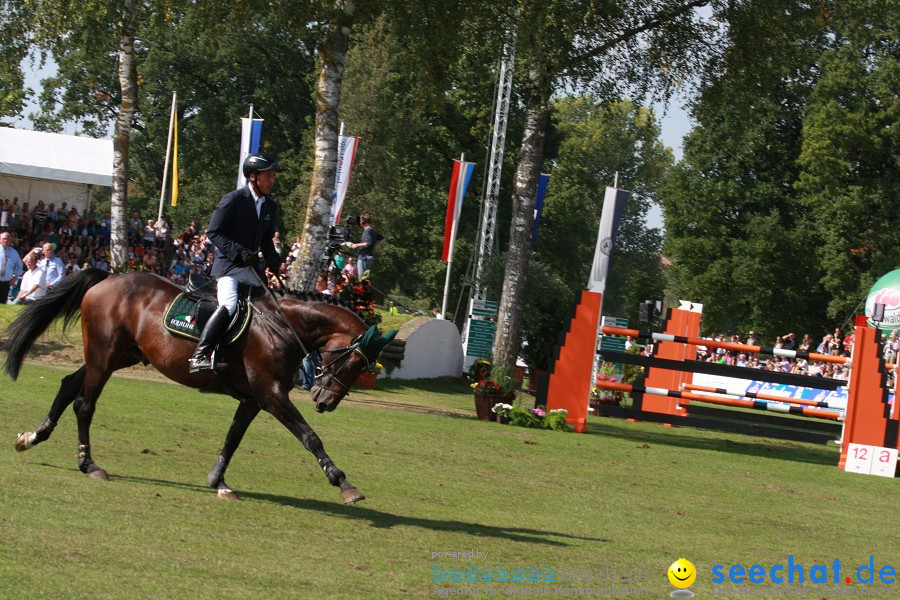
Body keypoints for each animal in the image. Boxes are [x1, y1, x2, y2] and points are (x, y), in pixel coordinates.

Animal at [3, 270, 396, 502]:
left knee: (69, 385)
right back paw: (89, 464)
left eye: (363, 368)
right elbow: (310, 436)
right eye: (353, 363)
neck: (282, 326)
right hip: (104, 354)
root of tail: (108, 278)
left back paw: (33, 437)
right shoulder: (271, 395)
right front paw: (343, 483)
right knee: (84, 404)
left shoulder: (254, 399)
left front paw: (218, 481)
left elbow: (233, 438)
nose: (324, 401)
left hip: (118, 356)